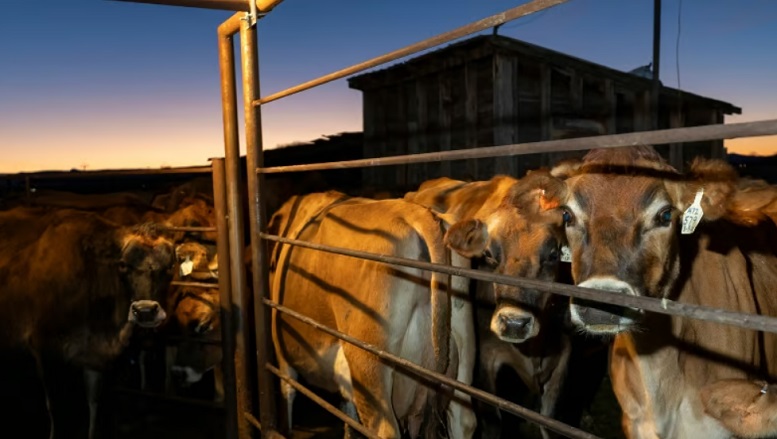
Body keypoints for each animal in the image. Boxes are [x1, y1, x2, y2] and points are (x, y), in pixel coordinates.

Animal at [0, 207, 175, 439]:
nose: (145, 311)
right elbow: (56, 406)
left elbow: (94, 405)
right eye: (122, 265)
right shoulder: (44, 349)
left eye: (169, 268)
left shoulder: (97, 358)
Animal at [268, 191, 472, 439]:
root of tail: (416, 212)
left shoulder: (281, 348)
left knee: (384, 428)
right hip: (462, 353)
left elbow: (287, 393)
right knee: (463, 420)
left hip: (368, 361)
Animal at [404, 174, 608, 438]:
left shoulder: (563, 359)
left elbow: (550, 422)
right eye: (489, 255)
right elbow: (493, 422)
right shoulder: (485, 361)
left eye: (553, 255)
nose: (514, 323)